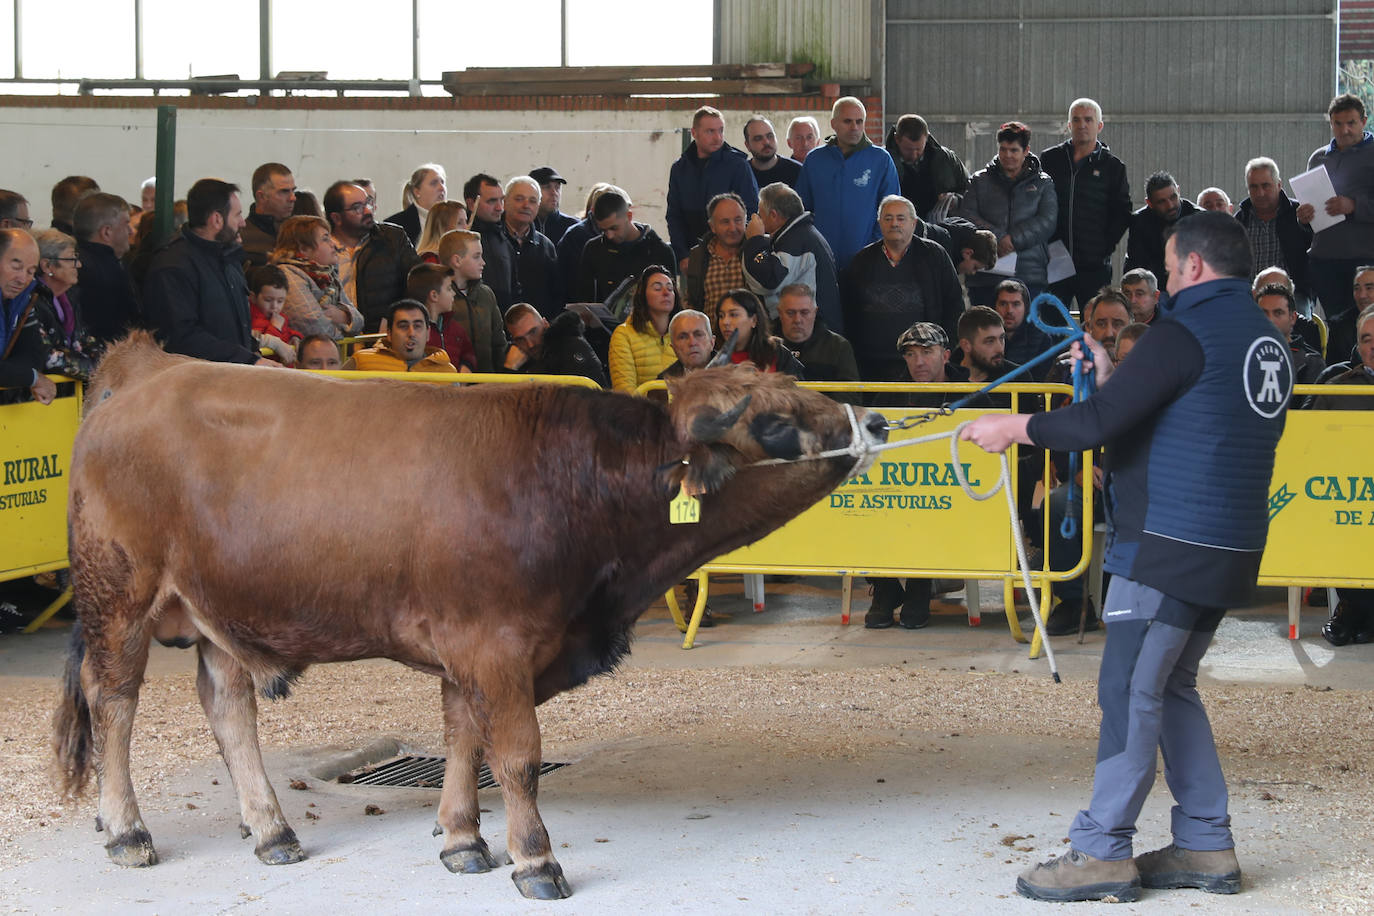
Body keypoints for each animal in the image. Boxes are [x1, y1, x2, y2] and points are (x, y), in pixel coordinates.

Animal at [53, 333, 884, 900]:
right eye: (773, 423)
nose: (875, 421)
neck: (565, 479)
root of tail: (150, 366)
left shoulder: (468, 644)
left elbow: (462, 736)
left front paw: (461, 840)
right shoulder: (495, 642)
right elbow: (514, 754)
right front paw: (534, 858)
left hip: (219, 608)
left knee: (228, 708)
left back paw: (272, 828)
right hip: (120, 597)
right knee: (114, 700)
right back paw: (127, 829)